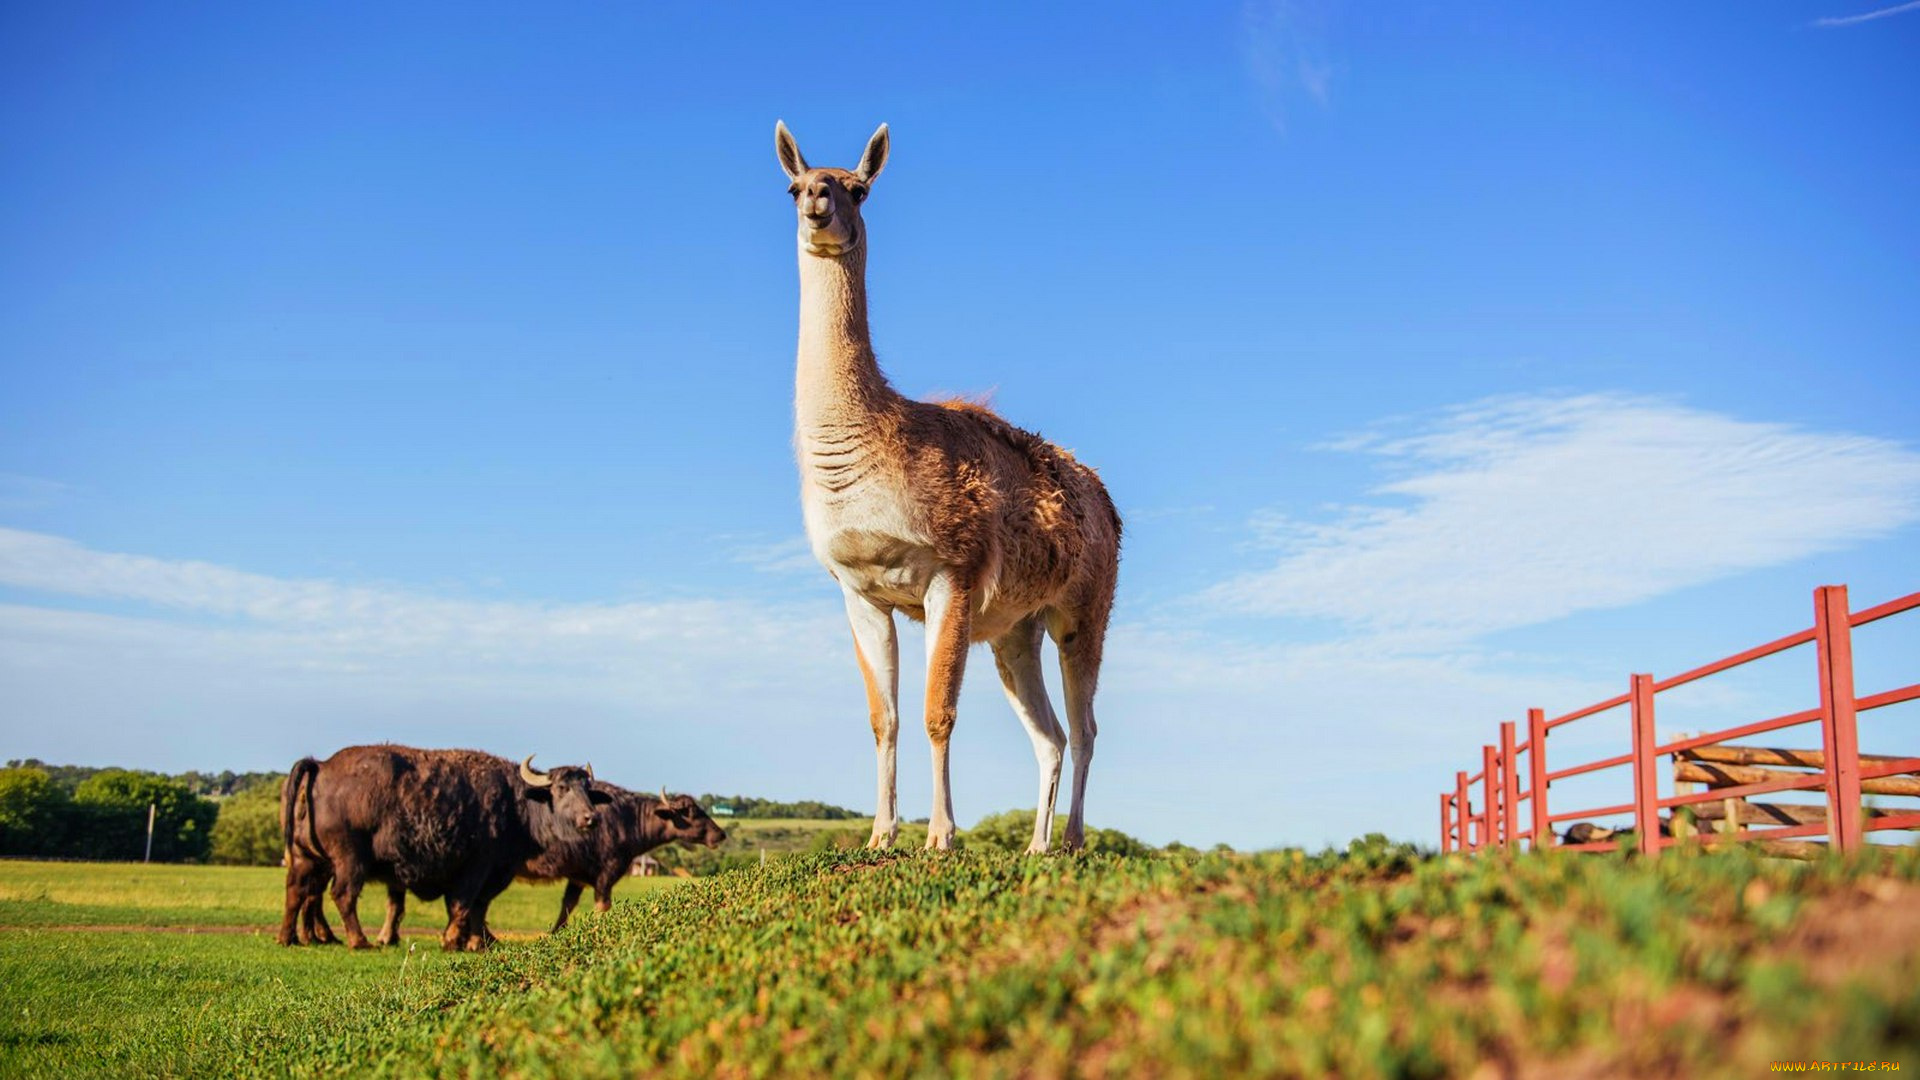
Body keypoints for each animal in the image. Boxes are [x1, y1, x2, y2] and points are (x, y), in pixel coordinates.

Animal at [278, 745, 602, 945]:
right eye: (562, 788)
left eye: (586, 788)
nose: (591, 817)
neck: (515, 802)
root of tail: (322, 766)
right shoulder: (478, 868)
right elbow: (463, 904)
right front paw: (455, 940)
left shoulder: (495, 872)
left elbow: (478, 907)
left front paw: (477, 941)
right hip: (349, 859)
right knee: (342, 894)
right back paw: (359, 941)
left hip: (306, 858)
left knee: (296, 892)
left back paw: (289, 937)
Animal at [518, 780, 725, 926]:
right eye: (693, 812)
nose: (720, 833)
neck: (628, 820)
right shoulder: (606, 875)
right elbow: (601, 908)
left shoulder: (578, 878)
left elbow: (567, 907)